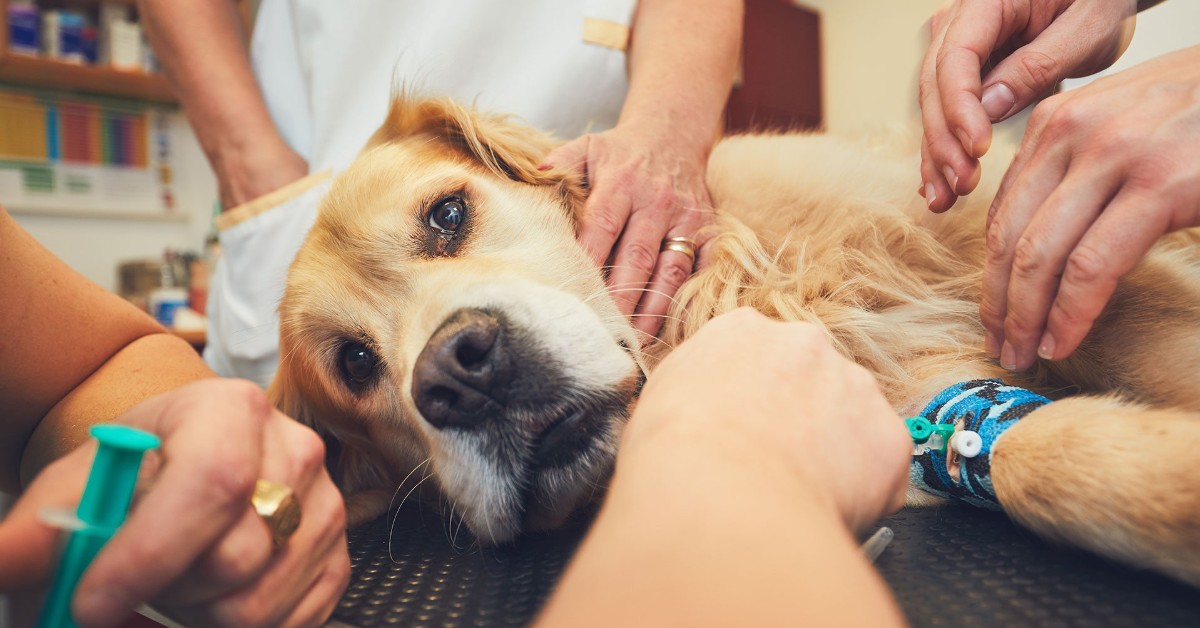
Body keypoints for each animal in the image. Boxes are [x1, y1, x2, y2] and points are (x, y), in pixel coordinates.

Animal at [270, 96, 1200, 588]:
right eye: (355, 365)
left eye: (447, 215)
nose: (461, 375)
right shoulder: (922, 411)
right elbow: (1039, 457)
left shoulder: (1025, 253)